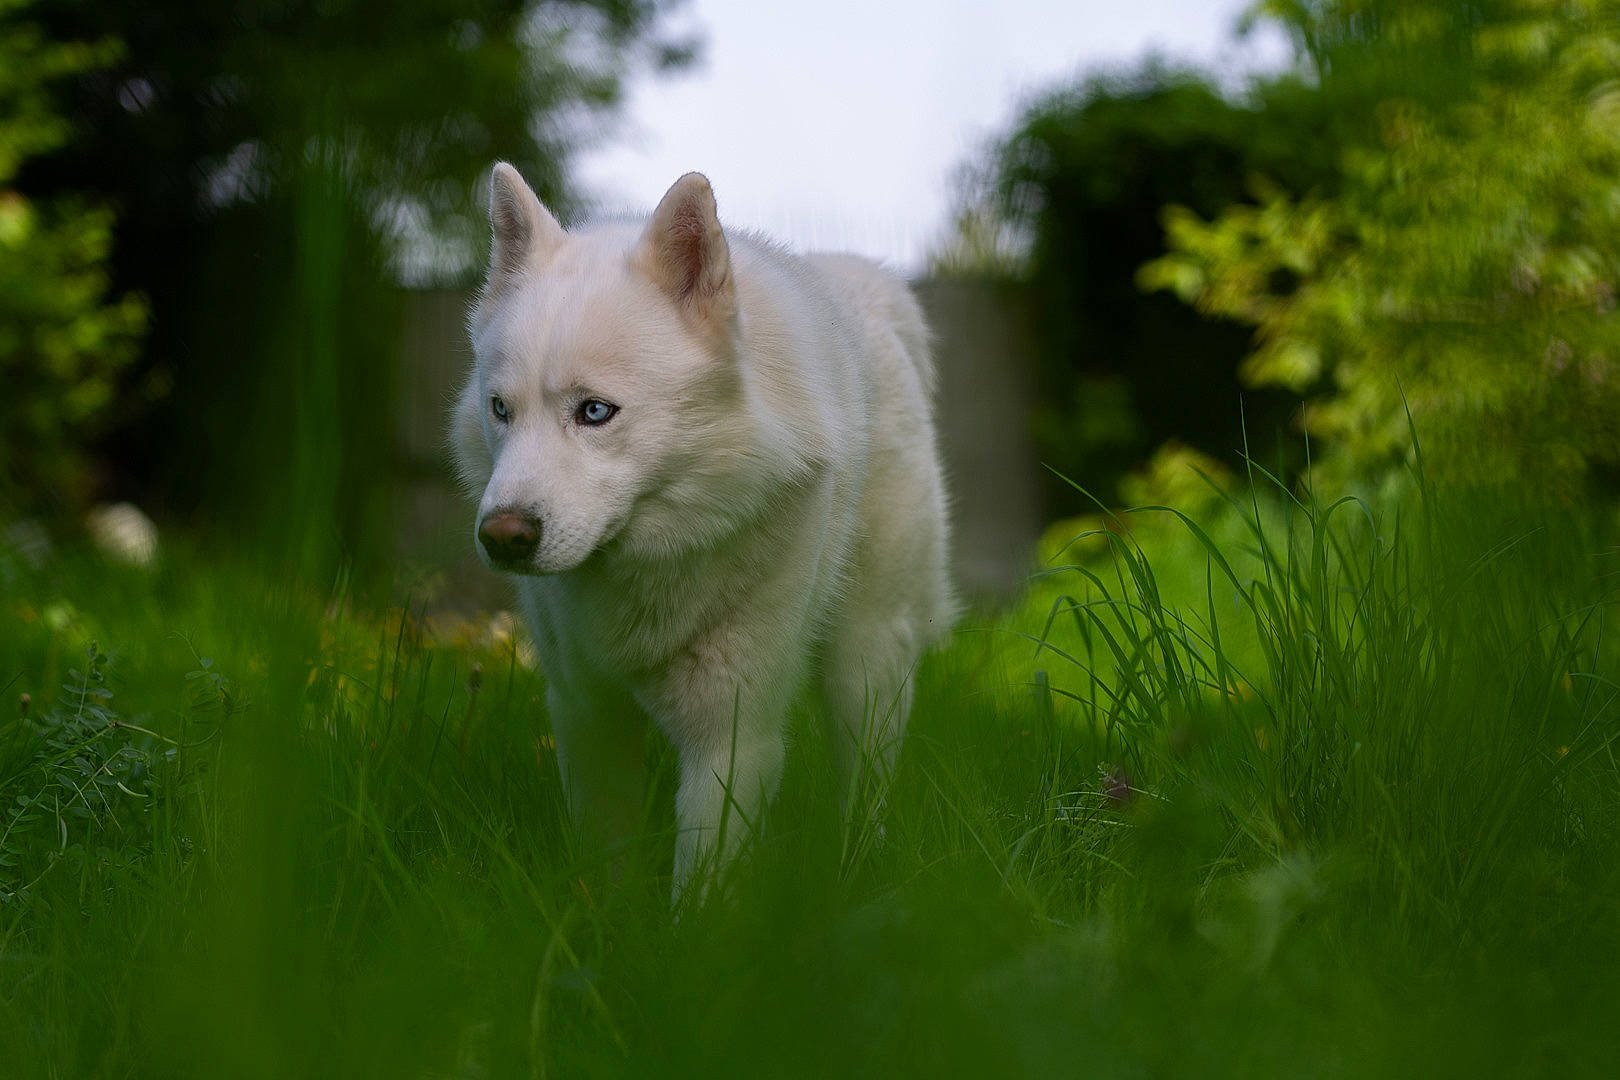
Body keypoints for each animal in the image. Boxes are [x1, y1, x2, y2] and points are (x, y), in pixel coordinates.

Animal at [450, 163, 954, 899]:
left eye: (595, 412)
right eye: (500, 410)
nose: (503, 537)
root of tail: (863, 280)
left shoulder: (731, 739)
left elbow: (702, 893)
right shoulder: (585, 714)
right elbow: (606, 869)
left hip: (866, 666)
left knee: (866, 792)